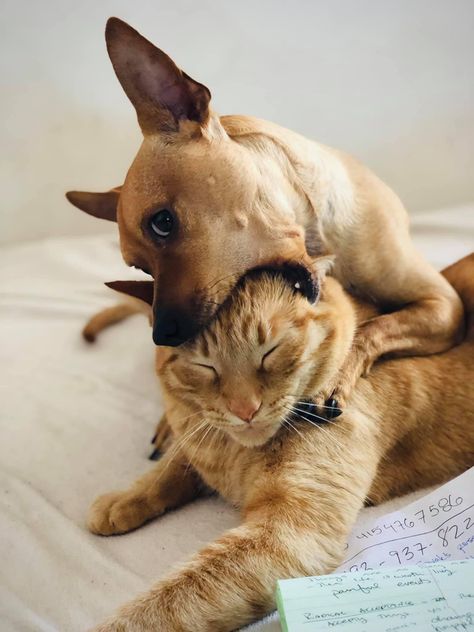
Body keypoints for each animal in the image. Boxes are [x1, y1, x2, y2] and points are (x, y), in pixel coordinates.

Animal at [66, 18, 462, 404]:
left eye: (162, 223)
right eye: (140, 268)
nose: (162, 333)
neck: (317, 240)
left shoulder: (445, 306)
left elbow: (374, 326)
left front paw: (338, 372)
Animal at [89, 254, 474, 628]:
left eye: (270, 351)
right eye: (204, 366)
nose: (244, 409)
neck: (230, 453)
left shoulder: (288, 533)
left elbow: (167, 601)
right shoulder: (200, 442)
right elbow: (171, 469)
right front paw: (123, 500)